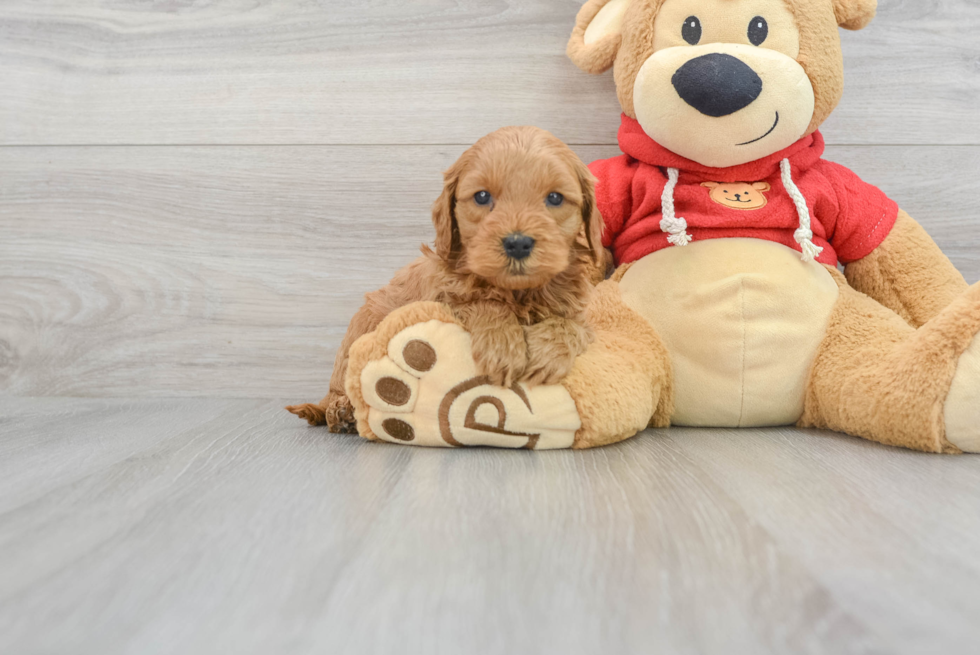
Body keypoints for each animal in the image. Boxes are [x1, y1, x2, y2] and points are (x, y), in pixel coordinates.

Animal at [286, 125, 604, 434]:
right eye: (482, 196)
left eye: (555, 198)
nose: (517, 243)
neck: (518, 292)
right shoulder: (443, 297)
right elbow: (483, 303)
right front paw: (502, 346)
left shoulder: (578, 311)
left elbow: (572, 326)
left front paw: (547, 355)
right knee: (338, 392)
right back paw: (341, 412)